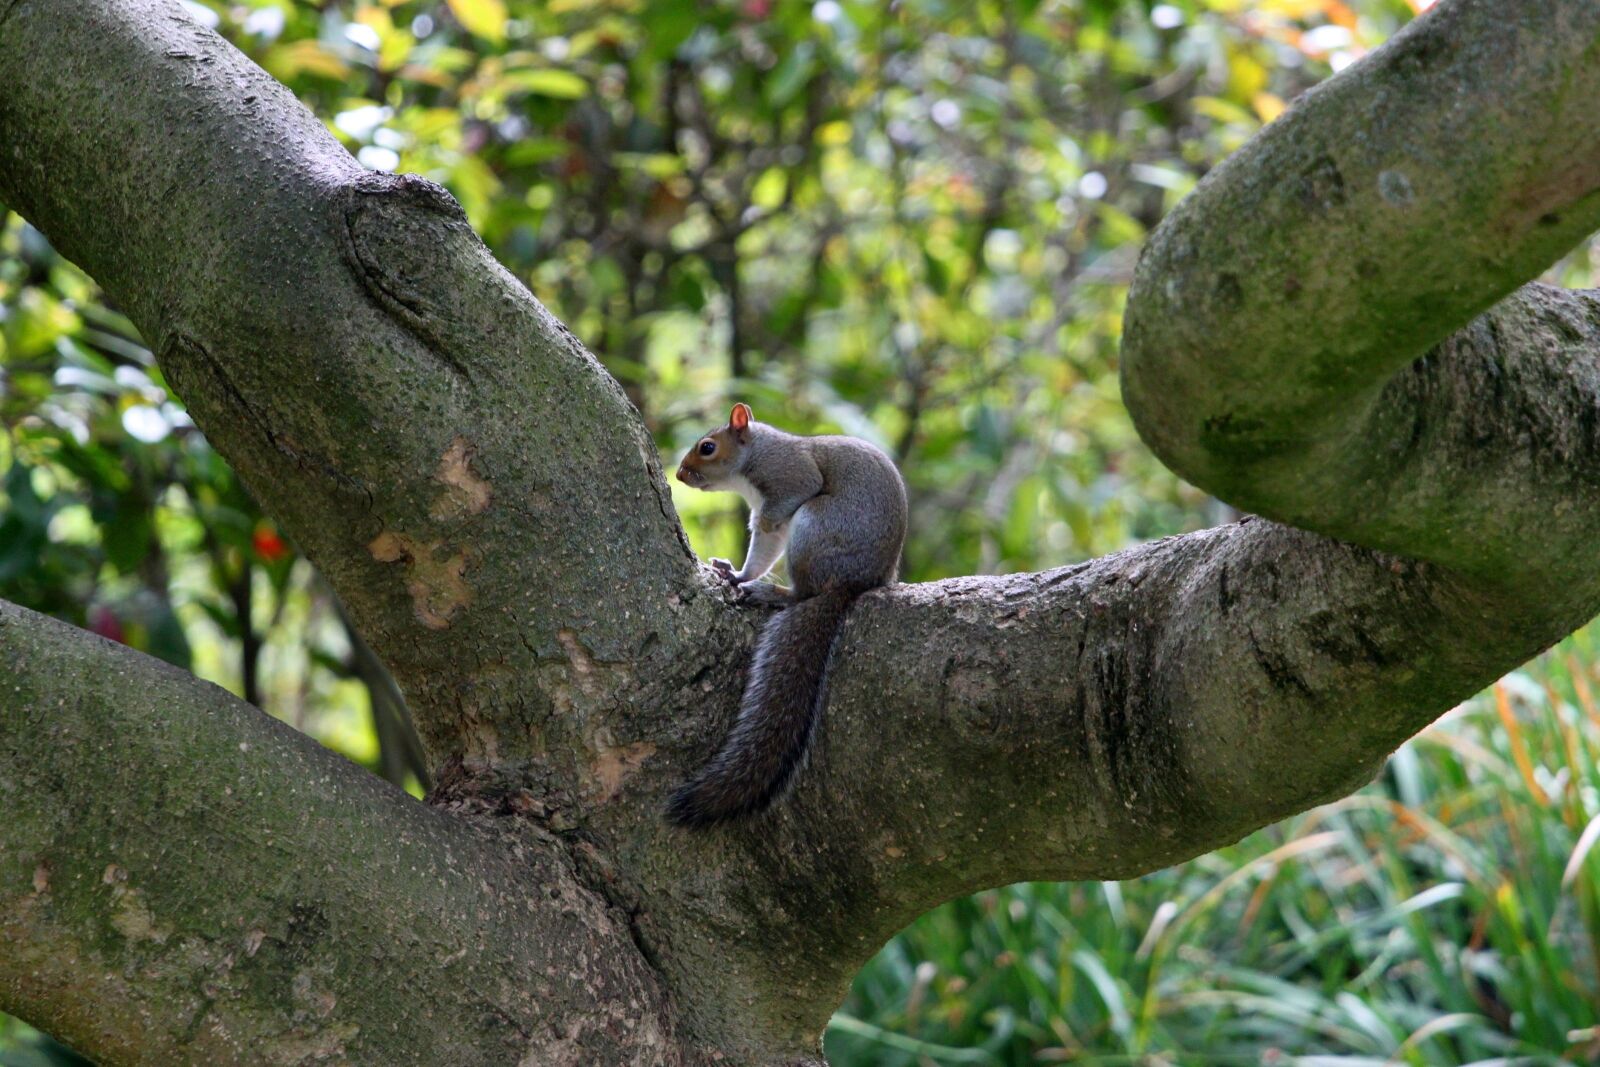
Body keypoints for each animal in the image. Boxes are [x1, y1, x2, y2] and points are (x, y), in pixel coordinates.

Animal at [665, 402, 908, 828]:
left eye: (707, 447)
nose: (679, 474)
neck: (755, 453)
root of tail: (854, 584)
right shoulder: (772, 519)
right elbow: (765, 544)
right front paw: (736, 573)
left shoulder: (788, 477)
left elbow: (772, 518)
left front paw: (745, 577)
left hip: (814, 522)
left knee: (803, 593)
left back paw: (773, 593)